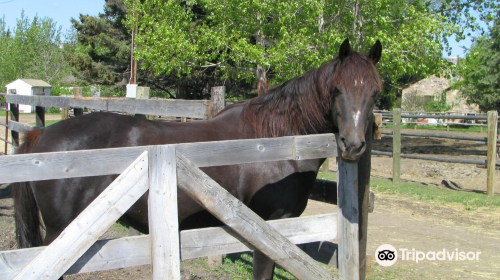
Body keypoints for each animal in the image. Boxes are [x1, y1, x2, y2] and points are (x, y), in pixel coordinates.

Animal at [13, 38, 382, 278]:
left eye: (375, 92)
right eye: (337, 89)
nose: (352, 145)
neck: (276, 142)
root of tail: (43, 136)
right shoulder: (268, 231)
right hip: (59, 238)